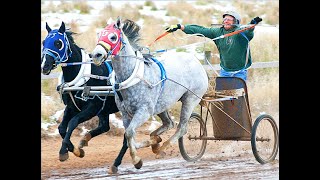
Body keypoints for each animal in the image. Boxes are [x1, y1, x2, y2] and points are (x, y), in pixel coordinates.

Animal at [40, 22, 128, 170]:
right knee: (105, 127)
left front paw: (63, 151)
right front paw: (76, 150)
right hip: (104, 111)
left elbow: (73, 122)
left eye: (58, 43)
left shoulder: (91, 108)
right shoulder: (71, 107)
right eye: (44, 42)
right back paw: (84, 140)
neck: (83, 76)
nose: (44, 66)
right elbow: (62, 128)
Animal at [91, 18, 209, 170]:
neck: (132, 76)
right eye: (99, 35)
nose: (96, 55)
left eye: (113, 37)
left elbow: (129, 133)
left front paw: (136, 160)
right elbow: (129, 136)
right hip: (162, 105)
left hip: (190, 99)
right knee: (169, 123)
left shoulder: (144, 111)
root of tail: (196, 61)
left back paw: (162, 148)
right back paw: (156, 141)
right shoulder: (125, 113)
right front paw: (147, 145)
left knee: (182, 128)